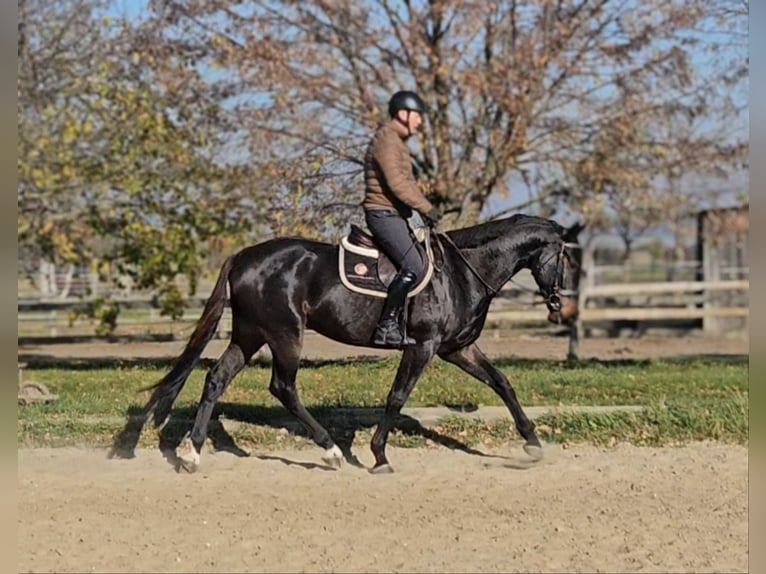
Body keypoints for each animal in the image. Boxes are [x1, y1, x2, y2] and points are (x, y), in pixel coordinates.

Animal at [140, 214, 584, 474]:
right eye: (565, 257)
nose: (562, 306)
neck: (461, 272)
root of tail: (244, 257)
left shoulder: (457, 348)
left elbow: (502, 383)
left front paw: (532, 443)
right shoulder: (422, 346)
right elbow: (396, 397)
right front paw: (379, 455)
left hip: (250, 334)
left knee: (217, 378)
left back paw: (193, 453)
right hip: (285, 334)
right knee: (283, 387)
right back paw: (330, 451)